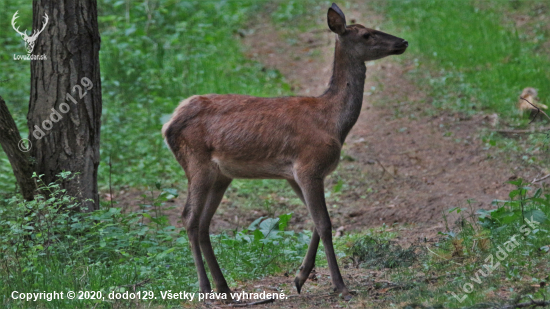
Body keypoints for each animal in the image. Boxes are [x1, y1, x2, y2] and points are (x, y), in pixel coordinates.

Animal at [162, 3, 408, 300]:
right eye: (367, 35)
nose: (403, 41)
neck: (332, 122)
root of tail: (168, 125)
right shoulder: (309, 166)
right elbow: (325, 224)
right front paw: (340, 285)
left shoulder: (295, 175)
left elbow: (315, 221)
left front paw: (300, 277)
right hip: (196, 163)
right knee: (189, 218)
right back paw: (206, 288)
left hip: (221, 175)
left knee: (203, 223)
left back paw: (224, 289)